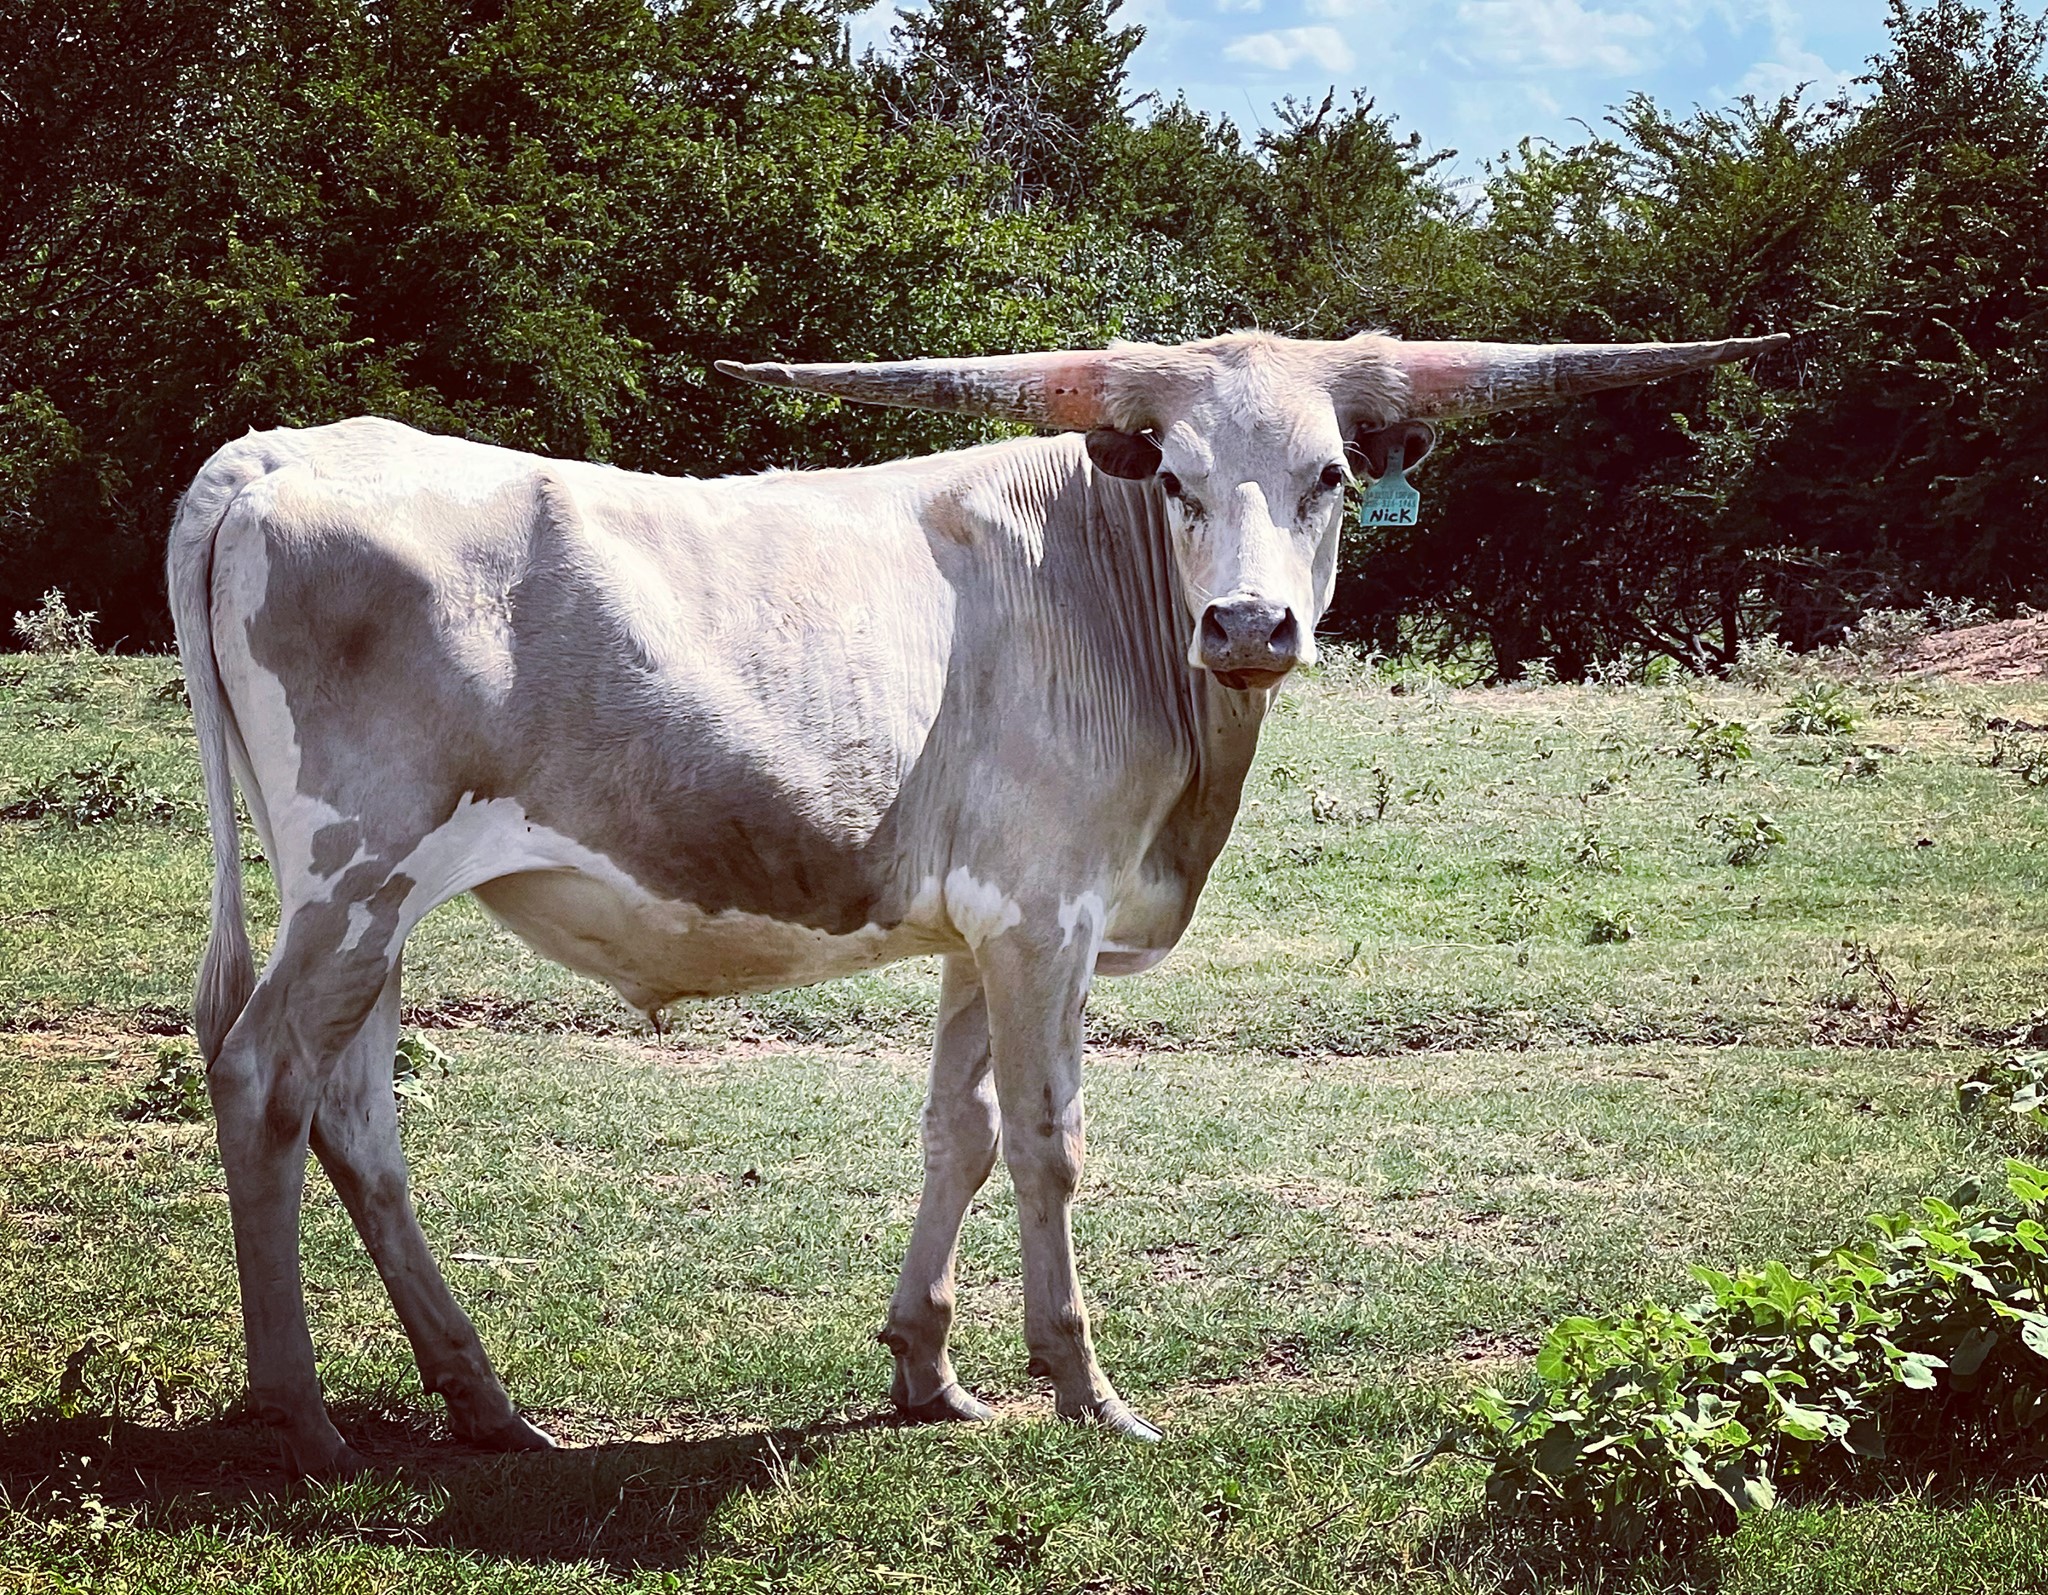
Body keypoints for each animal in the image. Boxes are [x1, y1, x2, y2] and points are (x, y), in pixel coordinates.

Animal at [166, 328, 1784, 1474]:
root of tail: (265, 456)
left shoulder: (977, 924)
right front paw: (1083, 1384)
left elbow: (958, 1130)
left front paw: (927, 1368)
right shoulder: (1043, 914)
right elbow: (1048, 1140)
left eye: (1327, 474)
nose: (1249, 623)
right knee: (262, 1077)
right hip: (355, 874)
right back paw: (301, 1417)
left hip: (371, 906)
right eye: (1177, 478)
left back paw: (484, 1400)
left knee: (357, 1117)